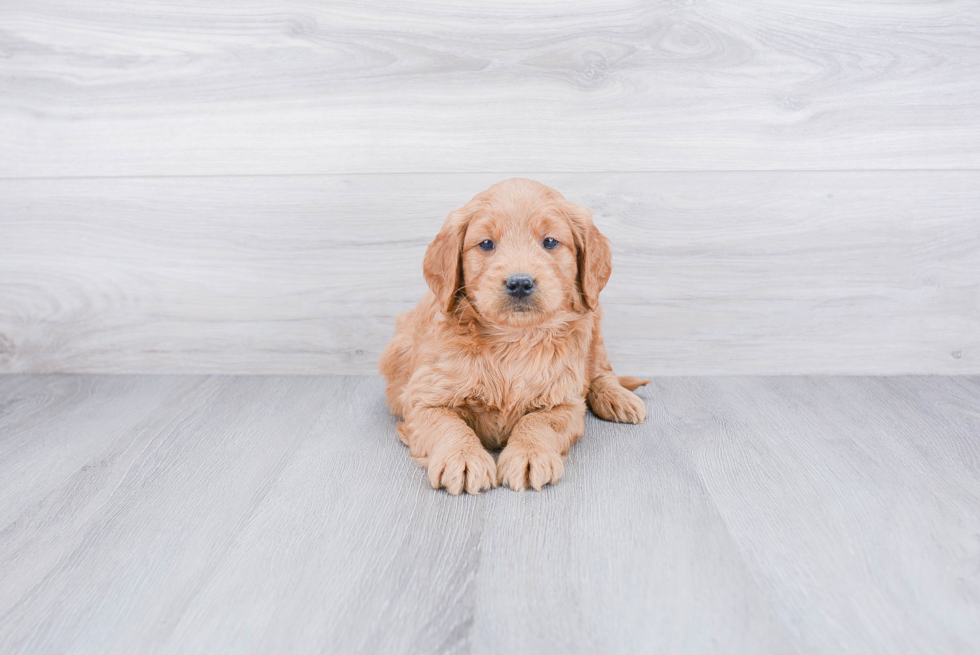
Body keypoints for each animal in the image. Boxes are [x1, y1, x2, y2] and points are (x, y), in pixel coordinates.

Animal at [378, 177, 648, 494]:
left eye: (550, 242)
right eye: (486, 244)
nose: (520, 283)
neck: (513, 339)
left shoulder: (565, 402)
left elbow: (538, 423)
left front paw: (530, 454)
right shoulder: (423, 398)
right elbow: (447, 424)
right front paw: (462, 458)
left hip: (594, 326)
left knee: (601, 372)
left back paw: (618, 398)